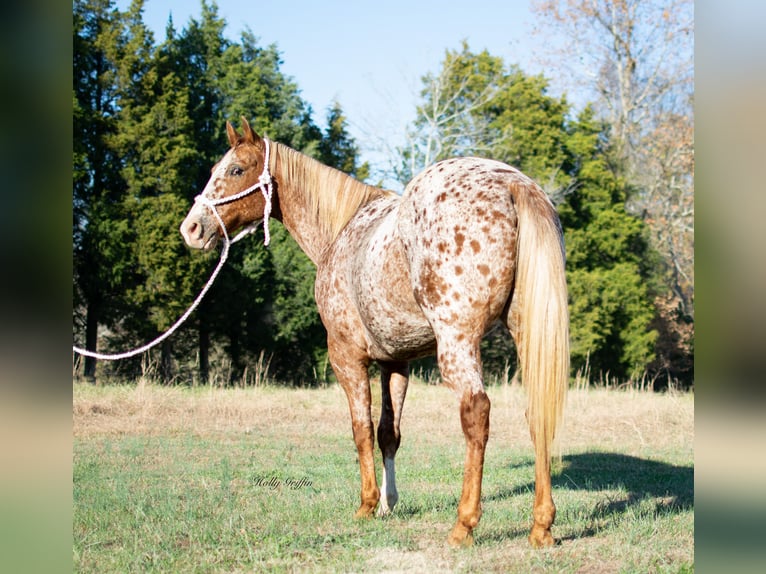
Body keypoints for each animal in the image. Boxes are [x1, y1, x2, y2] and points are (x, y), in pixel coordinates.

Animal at [180, 117, 568, 548]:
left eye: (235, 170)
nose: (191, 228)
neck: (341, 229)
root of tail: (512, 184)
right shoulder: (395, 362)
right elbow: (388, 432)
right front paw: (388, 502)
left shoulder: (346, 356)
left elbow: (361, 429)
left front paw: (367, 504)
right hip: (527, 336)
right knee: (538, 414)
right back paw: (541, 526)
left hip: (457, 343)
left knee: (476, 412)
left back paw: (464, 524)